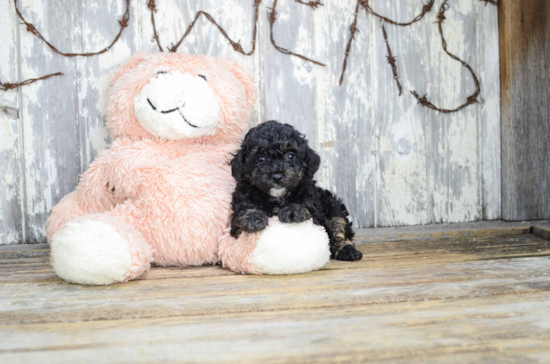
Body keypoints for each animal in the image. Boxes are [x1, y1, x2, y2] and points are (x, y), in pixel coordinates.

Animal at [231, 120, 364, 262]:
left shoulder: (313, 207)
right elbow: (244, 210)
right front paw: (253, 217)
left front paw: (293, 210)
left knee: (339, 227)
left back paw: (348, 251)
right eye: (260, 158)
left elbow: (304, 202)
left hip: (333, 205)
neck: (277, 197)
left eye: (290, 156)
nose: (277, 176)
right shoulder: (238, 214)